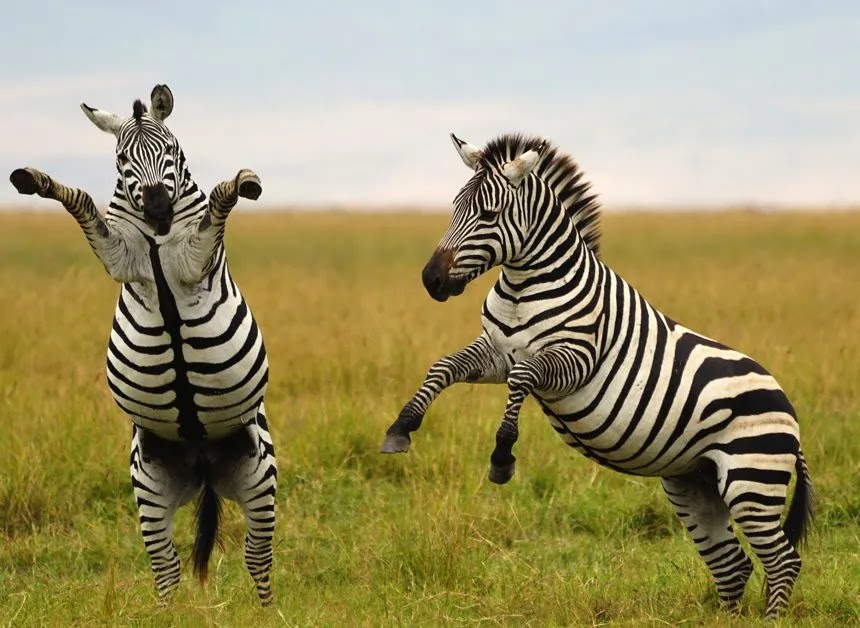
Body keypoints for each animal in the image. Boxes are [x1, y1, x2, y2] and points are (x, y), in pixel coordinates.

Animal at [9, 85, 277, 606]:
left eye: (171, 151)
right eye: (121, 160)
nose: (156, 209)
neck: (155, 238)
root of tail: (203, 463)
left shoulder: (196, 257)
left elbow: (220, 200)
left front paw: (246, 181)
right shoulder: (119, 257)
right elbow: (82, 202)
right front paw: (35, 179)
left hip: (260, 476)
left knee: (258, 558)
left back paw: (268, 614)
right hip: (149, 488)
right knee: (166, 567)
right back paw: (166, 614)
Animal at [381, 133, 813, 618]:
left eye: (488, 215)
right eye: (455, 207)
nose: (431, 279)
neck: (523, 287)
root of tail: (789, 410)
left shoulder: (575, 357)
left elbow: (523, 377)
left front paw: (503, 454)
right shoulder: (495, 352)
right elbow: (444, 367)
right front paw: (402, 426)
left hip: (751, 478)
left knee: (782, 560)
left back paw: (771, 620)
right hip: (694, 481)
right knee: (733, 563)